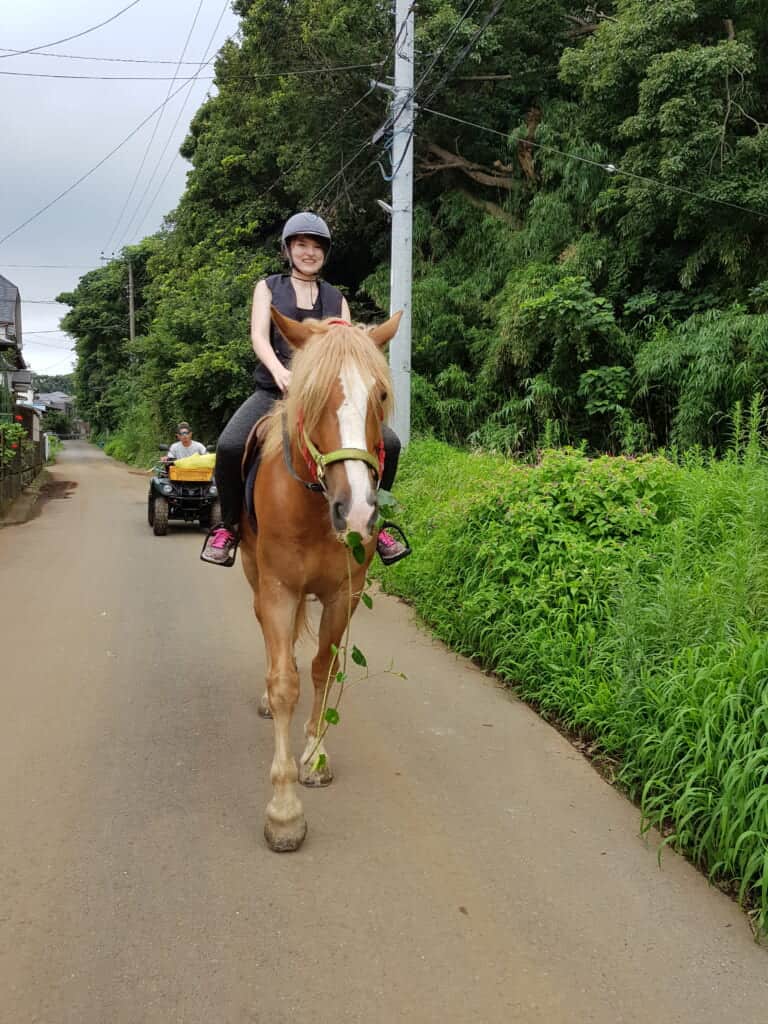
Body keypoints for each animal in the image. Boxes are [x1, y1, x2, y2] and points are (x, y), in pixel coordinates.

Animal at [240, 306, 402, 852]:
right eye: (311, 396)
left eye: (381, 394)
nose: (357, 513)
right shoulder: (278, 590)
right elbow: (285, 682)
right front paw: (284, 810)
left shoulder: (343, 594)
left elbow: (322, 670)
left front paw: (314, 755)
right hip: (254, 574)